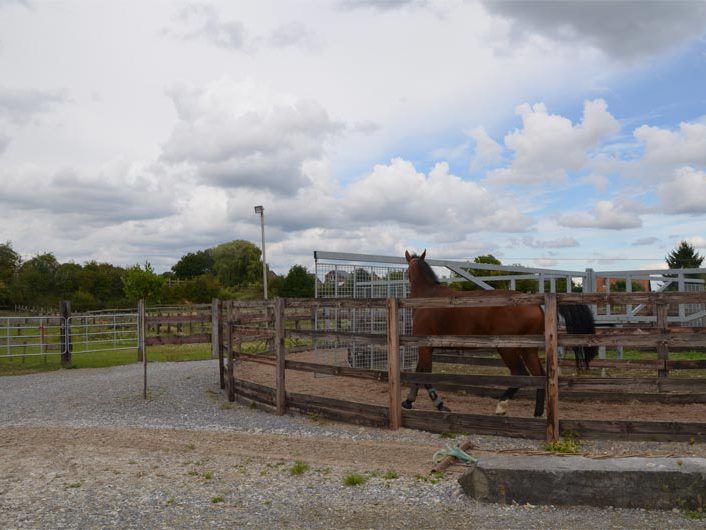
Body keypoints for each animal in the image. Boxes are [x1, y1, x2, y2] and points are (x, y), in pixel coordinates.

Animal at [402, 250, 592, 414]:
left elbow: (425, 376)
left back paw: (501, 405)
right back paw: (537, 414)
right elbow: (418, 374)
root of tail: (536, 305)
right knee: (538, 376)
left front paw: (440, 405)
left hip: (507, 349)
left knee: (520, 374)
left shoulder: (425, 346)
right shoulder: (425, 347)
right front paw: (408, 401)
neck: (428, 296)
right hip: (528, 349)